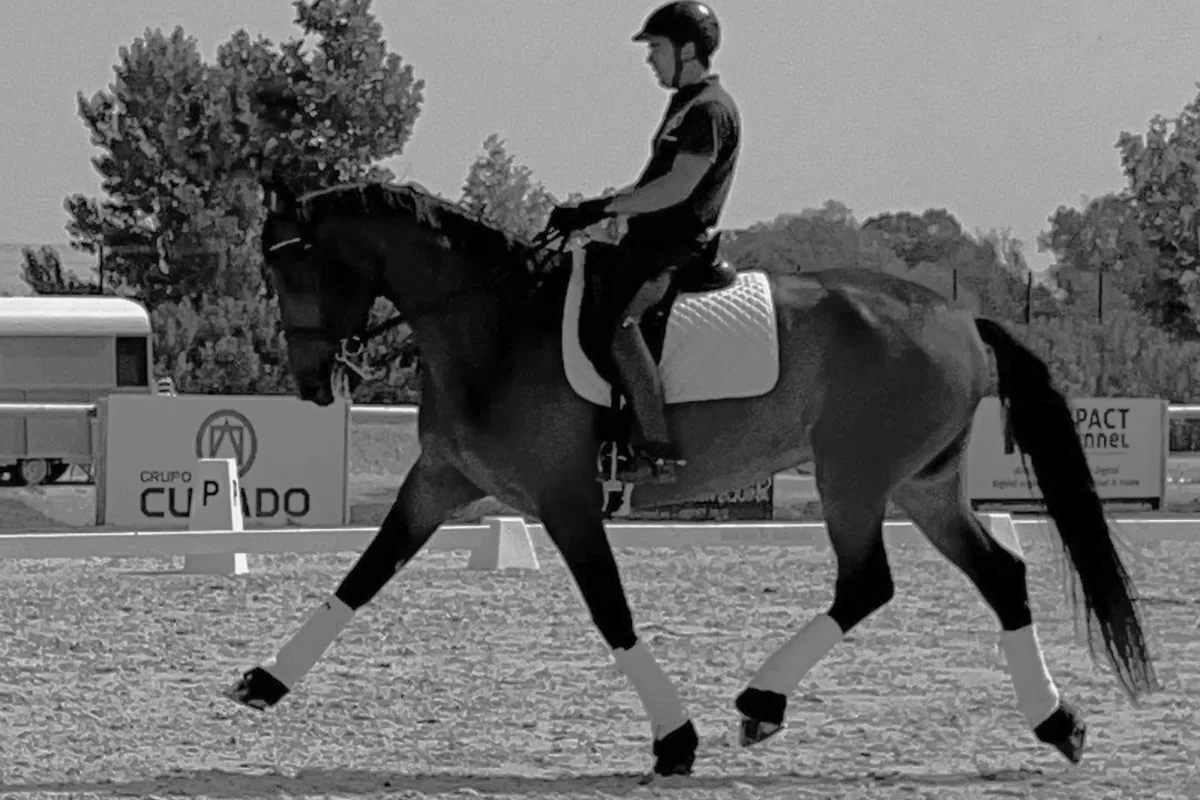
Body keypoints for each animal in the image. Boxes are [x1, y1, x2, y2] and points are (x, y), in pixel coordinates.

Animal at [223, 176, 1159, 779]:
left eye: (292, 268)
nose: (312, 383)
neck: (492, 325)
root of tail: (961, 316)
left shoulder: (566, 499)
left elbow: (611, 612)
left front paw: (675, 740)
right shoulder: (442, 480)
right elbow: (364, 574)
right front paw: (264, 682)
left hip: (854, 475)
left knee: (867, 583)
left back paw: (762, 702)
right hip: (921, 484)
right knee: (997, 575)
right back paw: (1057, 723)